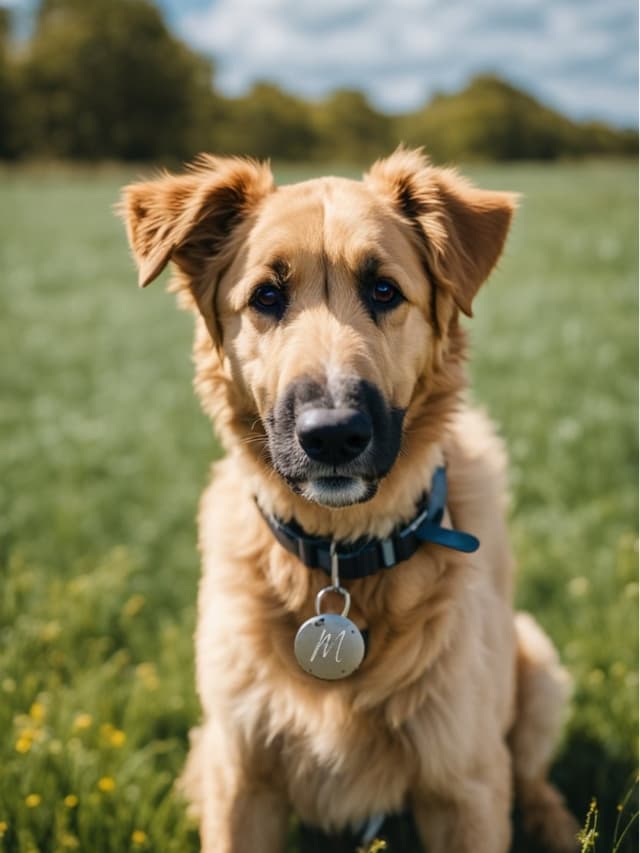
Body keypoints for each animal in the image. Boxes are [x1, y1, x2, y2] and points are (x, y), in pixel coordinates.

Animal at [120, 150, 580, 848]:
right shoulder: (241, 778)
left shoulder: (464, 784)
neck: (341, 556)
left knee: (531, 776)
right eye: (267, 296)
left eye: (384, 290)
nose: (333, 434)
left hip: (537, 670)